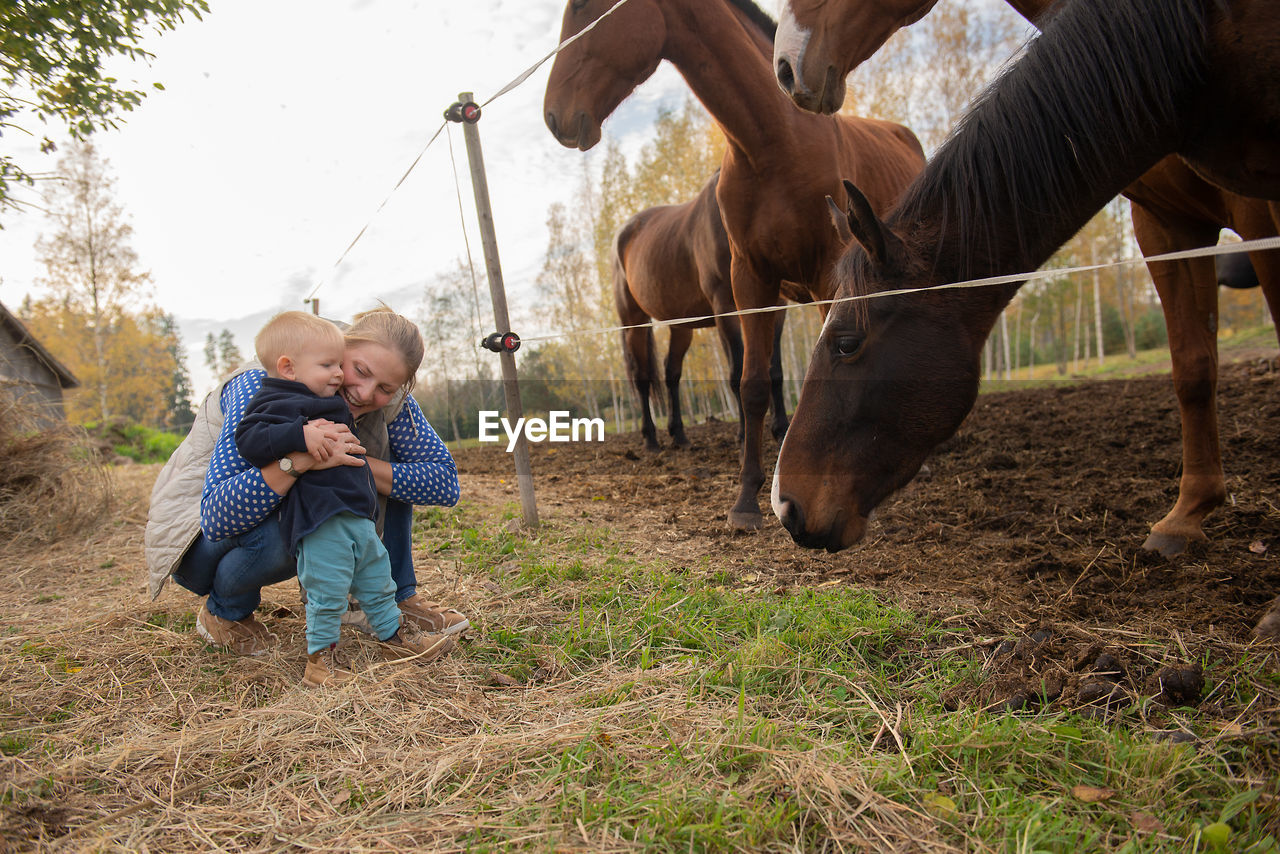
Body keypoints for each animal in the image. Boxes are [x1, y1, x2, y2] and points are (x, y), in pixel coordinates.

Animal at [611, 170, 788, 450]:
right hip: (634, 320)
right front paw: (743, 435)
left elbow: (775, 370)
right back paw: (650, 438)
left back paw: (679, 435)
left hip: (681, 325)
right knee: (642, 377)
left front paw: (781, 430)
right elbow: (737, 373)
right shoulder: (725, 308)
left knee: (671, 372)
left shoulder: (777, 307)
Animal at [768, 0, 1280, 558]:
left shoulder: (1259, 208)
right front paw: (1185, 519)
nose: (785, 506)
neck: (1204, 36)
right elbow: (1192, 366)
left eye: (846, 343)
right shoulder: (1168, 224)